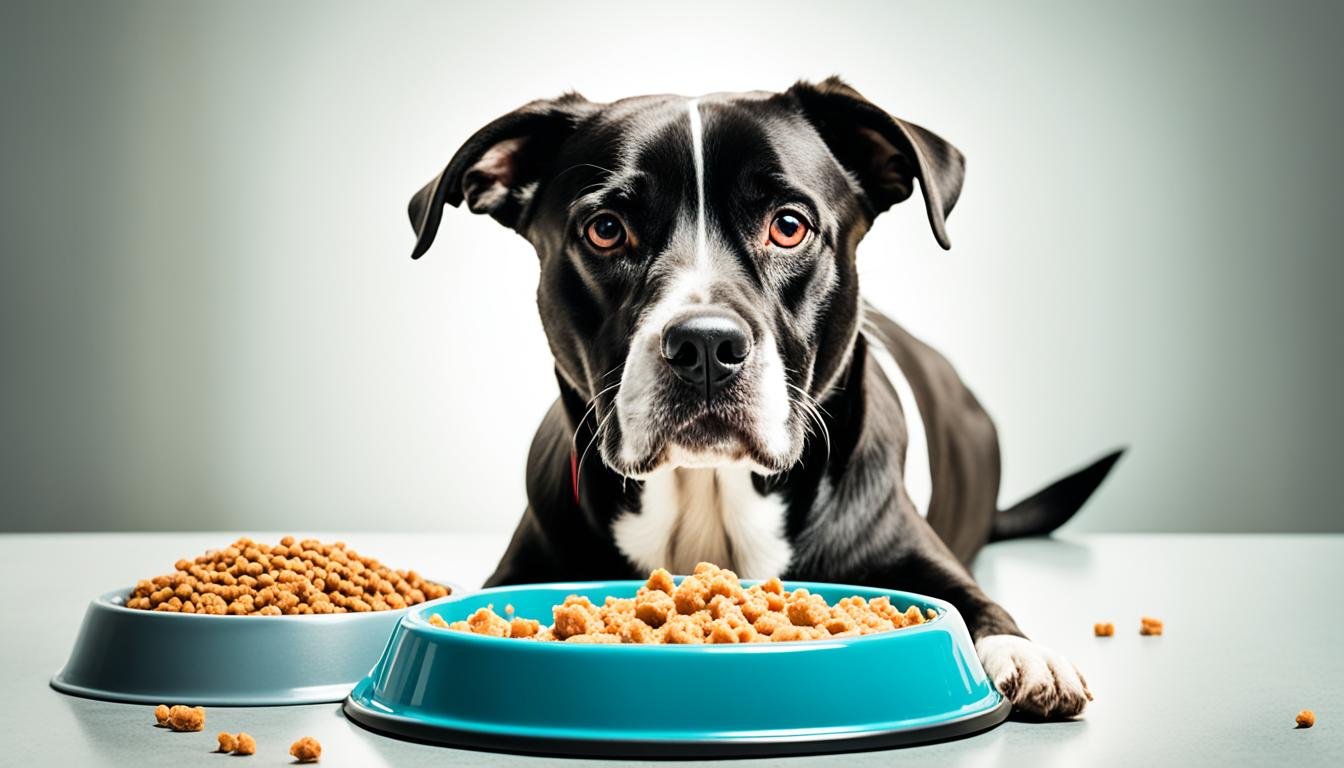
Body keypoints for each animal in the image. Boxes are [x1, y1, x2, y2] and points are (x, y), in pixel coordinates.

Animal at [408, 79, 1123, 720]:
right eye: (606, 230)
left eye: (788, 227)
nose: (704, 345)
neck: (708, 489)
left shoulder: (915, 555)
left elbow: (975, 605)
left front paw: (1025, 654)